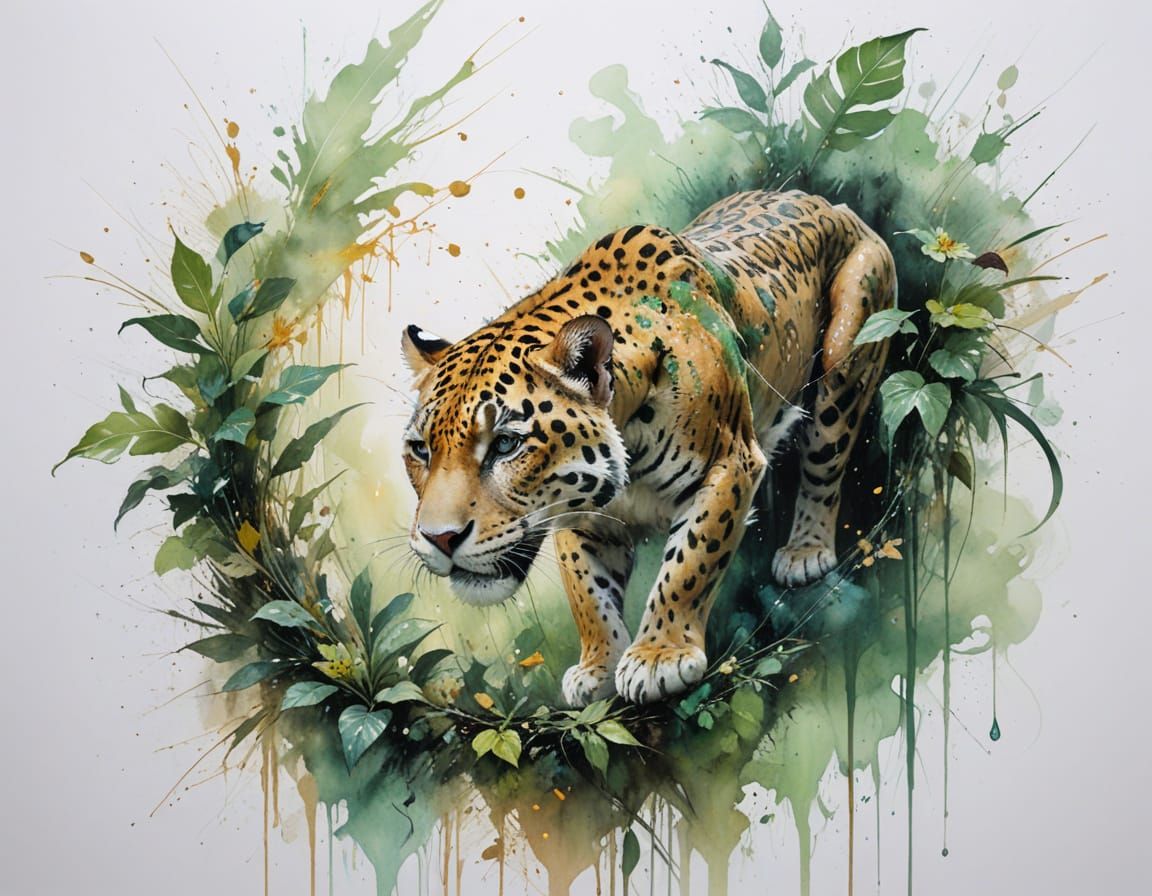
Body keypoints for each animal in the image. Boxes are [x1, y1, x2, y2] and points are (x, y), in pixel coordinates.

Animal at [400, 189, 895, 705]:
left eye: (505, 444)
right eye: (420, 450)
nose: (439, 538)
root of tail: (826, 203)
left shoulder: (728, 464)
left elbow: (689, 561)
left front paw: (660, 657)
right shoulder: (580, 510)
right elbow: (587, 591)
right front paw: (599, 667)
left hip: (848, 354)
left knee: (825, 463)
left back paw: (805, 552)